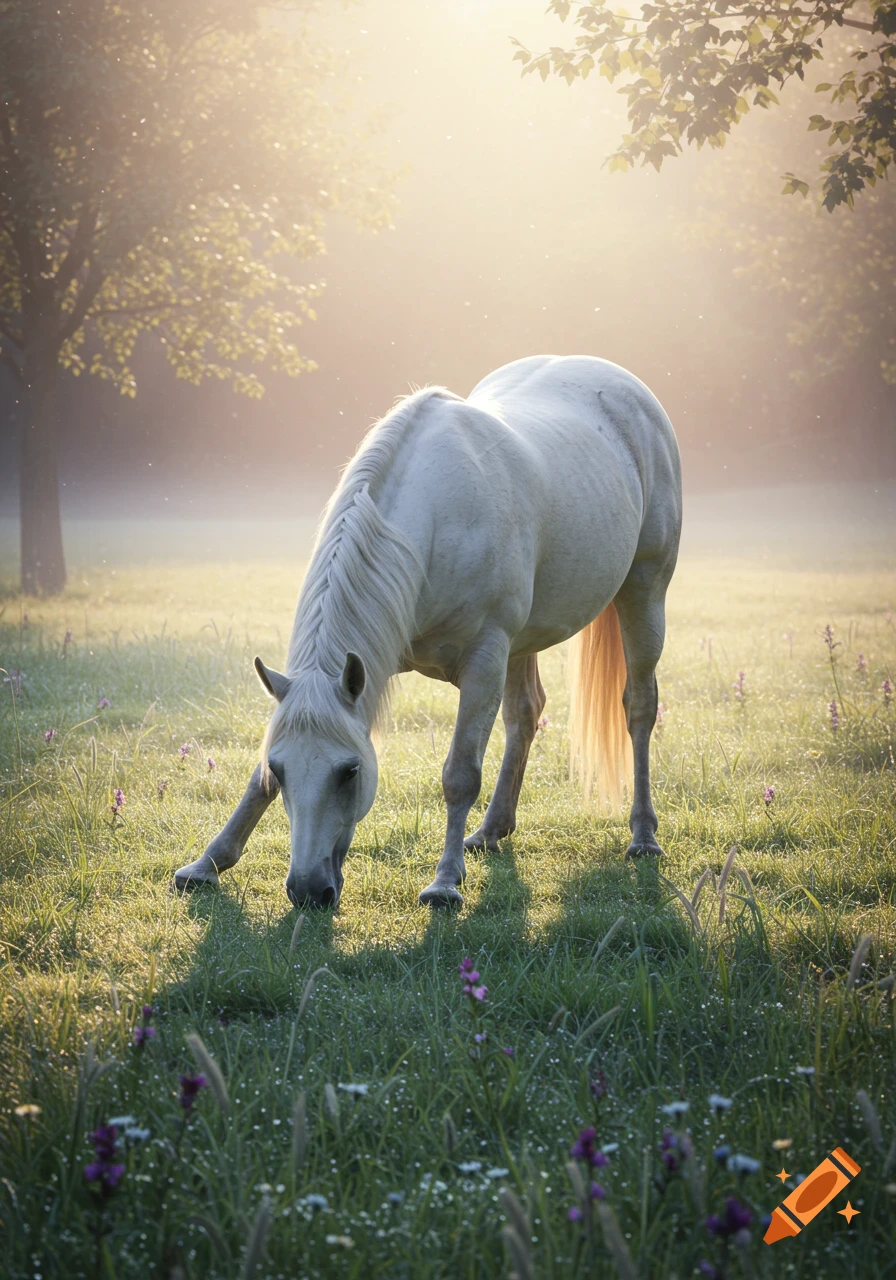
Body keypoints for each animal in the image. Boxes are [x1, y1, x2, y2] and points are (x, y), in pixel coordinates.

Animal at [174, 354, 682, 909]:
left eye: (350, 771)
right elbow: (255, 783)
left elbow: (460, 774)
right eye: (281, 769)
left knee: (639, 707)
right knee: (525, 714)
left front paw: (444, 883)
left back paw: (643, 835)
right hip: (523, 642)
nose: (308, 891)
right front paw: (207, 863)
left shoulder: (484, 660)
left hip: (644, 593)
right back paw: (490, 831)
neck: (437, 524)